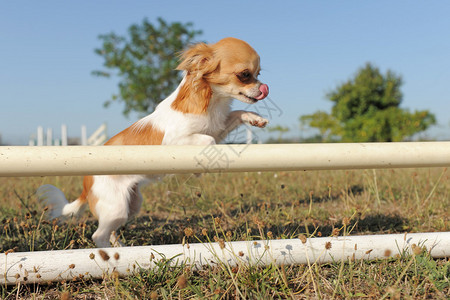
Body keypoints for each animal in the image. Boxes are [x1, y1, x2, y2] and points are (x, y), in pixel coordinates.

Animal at [37, 37, 268, 247]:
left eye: (258, 74)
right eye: (245, 75)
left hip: (131, 205)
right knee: (98, 236)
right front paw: (200, 168)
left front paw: (254, 118)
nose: (263, 88)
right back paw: (109, 256)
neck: (213, 102)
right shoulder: (176, 139)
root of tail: (86, 184)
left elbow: (235, 114)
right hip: (116, 207)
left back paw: (120, 248)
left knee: (111, 232)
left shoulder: (218, 127)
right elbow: (208, 140)